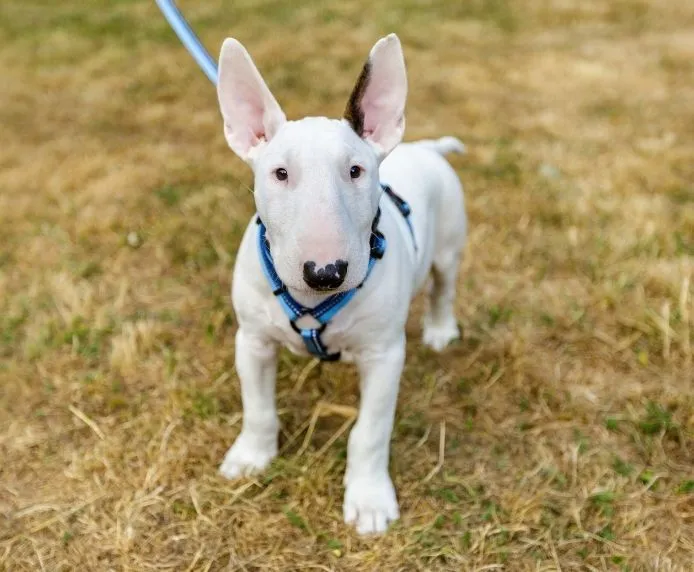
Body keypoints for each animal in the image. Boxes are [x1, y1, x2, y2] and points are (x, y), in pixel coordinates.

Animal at [218, 33, 468, 536]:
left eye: (356, 171)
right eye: (280, 173)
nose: (326, 271)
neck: (313, 302)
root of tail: (426, 148)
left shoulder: (385, 356)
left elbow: (369, 432)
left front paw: (369, 500)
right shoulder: (251, 341)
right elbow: (257, 407)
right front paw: (251, 456)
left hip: (450, 247)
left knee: (443, 287)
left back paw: (439, 329)